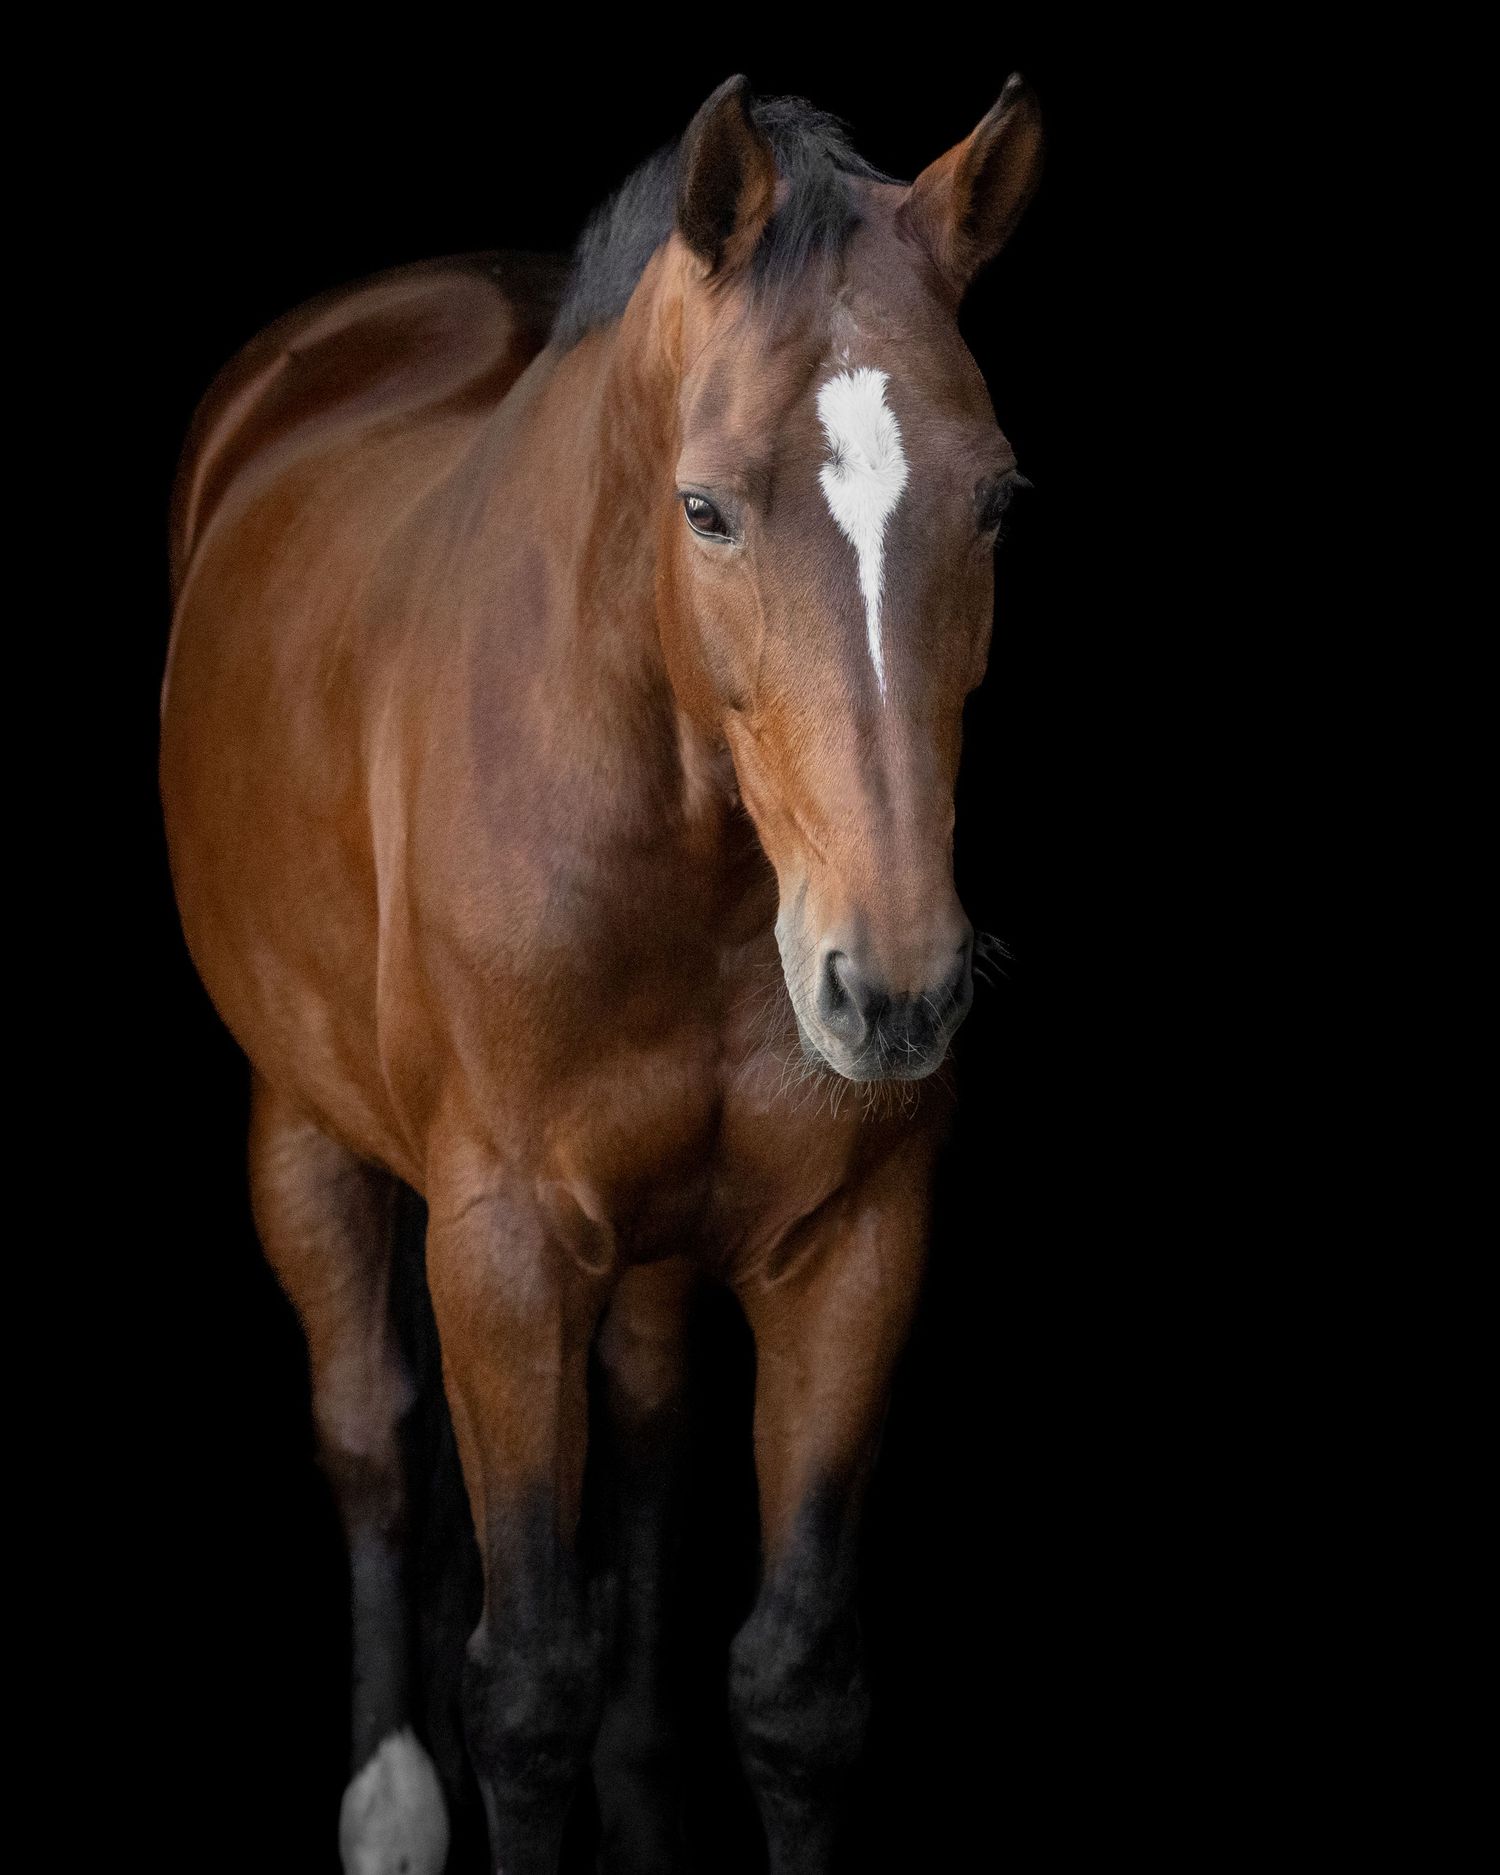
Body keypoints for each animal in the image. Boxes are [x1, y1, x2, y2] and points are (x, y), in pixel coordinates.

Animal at [159, 72, 1043, 1875]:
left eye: (997, 501)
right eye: (705, 506)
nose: (892, 988)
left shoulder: (856, 1247)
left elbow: (795, 1684)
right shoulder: (501, 1257)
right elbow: (525, 1684)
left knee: (641, 1428)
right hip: (305, 1134)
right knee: (371, 1433)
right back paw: (389, 1801)